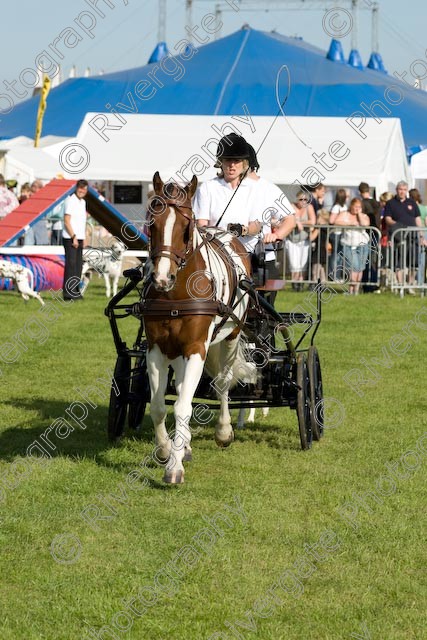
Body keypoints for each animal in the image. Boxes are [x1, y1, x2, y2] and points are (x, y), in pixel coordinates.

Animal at [142, 172, 252, 482]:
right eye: (151, 223)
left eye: (186, 227)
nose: (162, 278)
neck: (175, 295)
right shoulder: (156, 348)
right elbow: (159, 405)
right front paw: (167, 450)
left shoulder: (196, 347)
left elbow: (182, 406)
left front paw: (174, 468)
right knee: (181, 386)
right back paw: (186, 444)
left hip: (230, 337)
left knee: (224, 382)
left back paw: (224, 431)